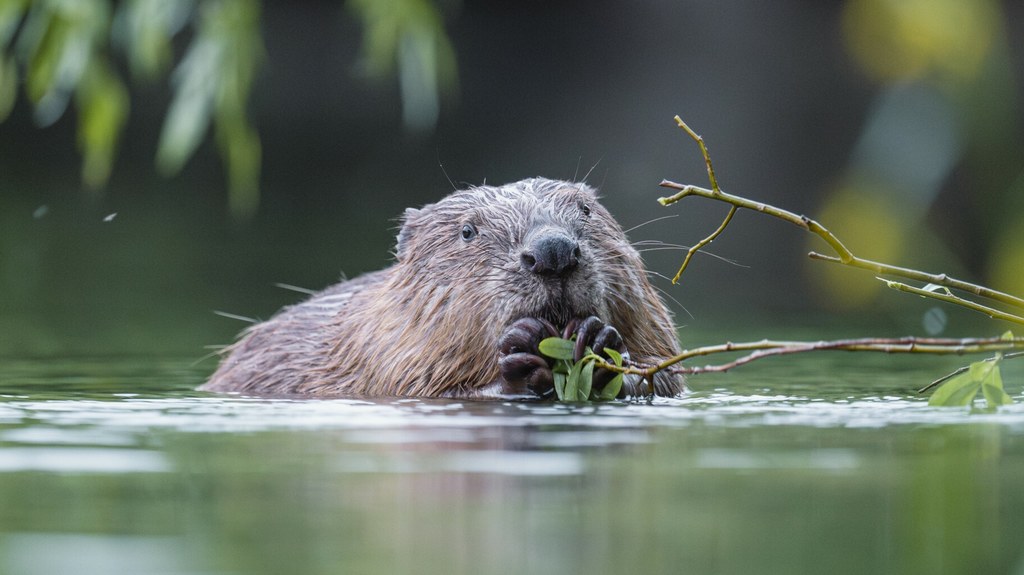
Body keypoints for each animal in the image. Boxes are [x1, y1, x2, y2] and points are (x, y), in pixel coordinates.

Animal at [202, 177, 684, 396]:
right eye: (468, 231)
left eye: (585, 210)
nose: (552, 251)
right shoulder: (379, 355)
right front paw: (521, 354)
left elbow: (665, 374)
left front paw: (599, 342)